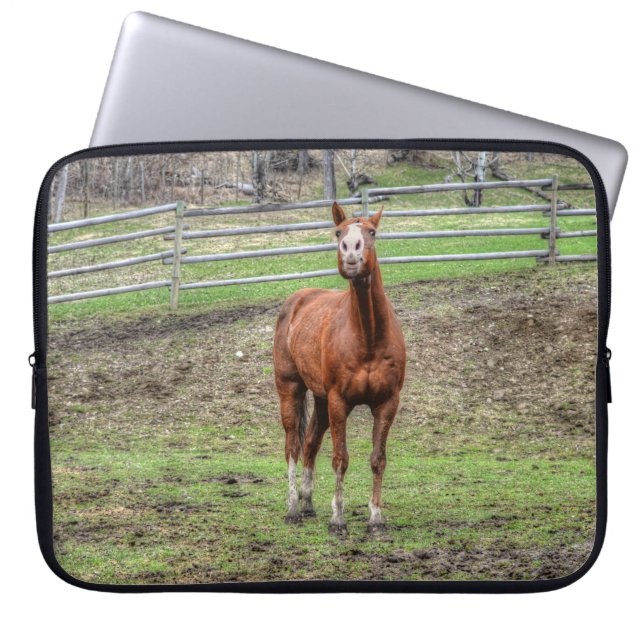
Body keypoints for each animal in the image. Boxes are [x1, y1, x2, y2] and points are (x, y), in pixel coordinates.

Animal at [273, 202, 406, 534]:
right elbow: (340, 459)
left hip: (320, 398)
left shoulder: (387, 403)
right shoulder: (339, 402)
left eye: (371, 232)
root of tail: (296, 300)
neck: (367, 336)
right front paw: (338, 519)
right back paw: (293, 508)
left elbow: (377, 459)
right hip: (291, 389)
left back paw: (307, 504)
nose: (351, 253)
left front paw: (376, 518)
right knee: (292, 446)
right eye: (338, 233)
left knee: (310, 443)